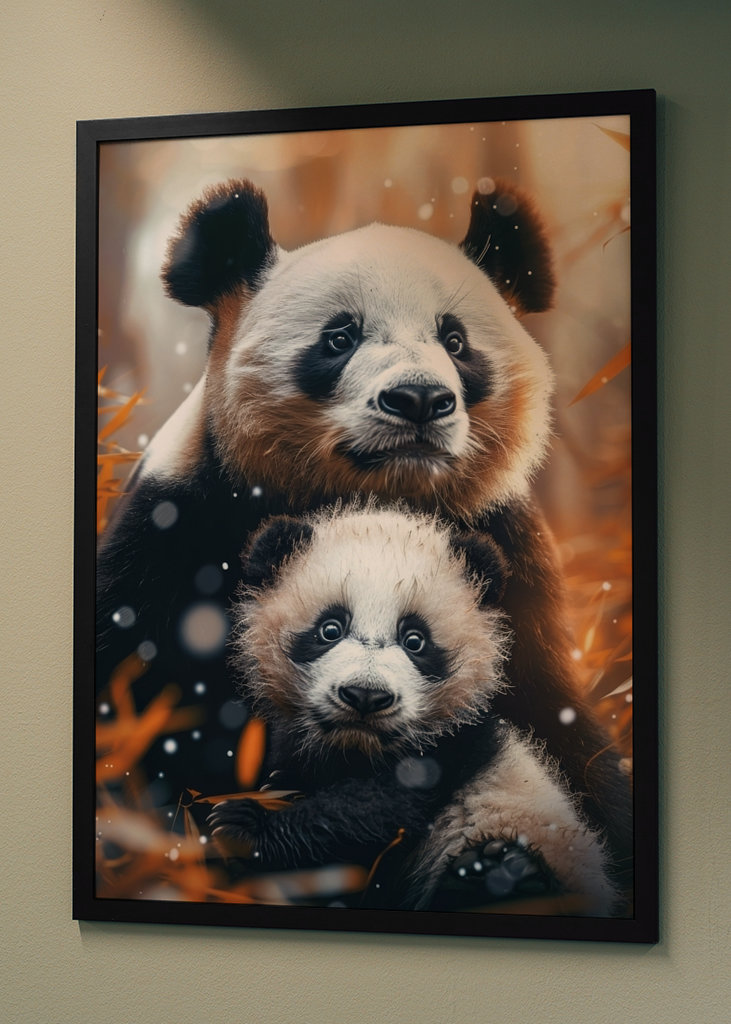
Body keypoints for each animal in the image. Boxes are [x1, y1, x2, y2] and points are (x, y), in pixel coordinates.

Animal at [208, 504, 617, 916]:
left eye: (415, 640)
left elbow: (374, 812)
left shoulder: (452, 747)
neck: (358, 748)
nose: (365, 696)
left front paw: (241, 827)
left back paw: (494, 874)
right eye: (330, 629)